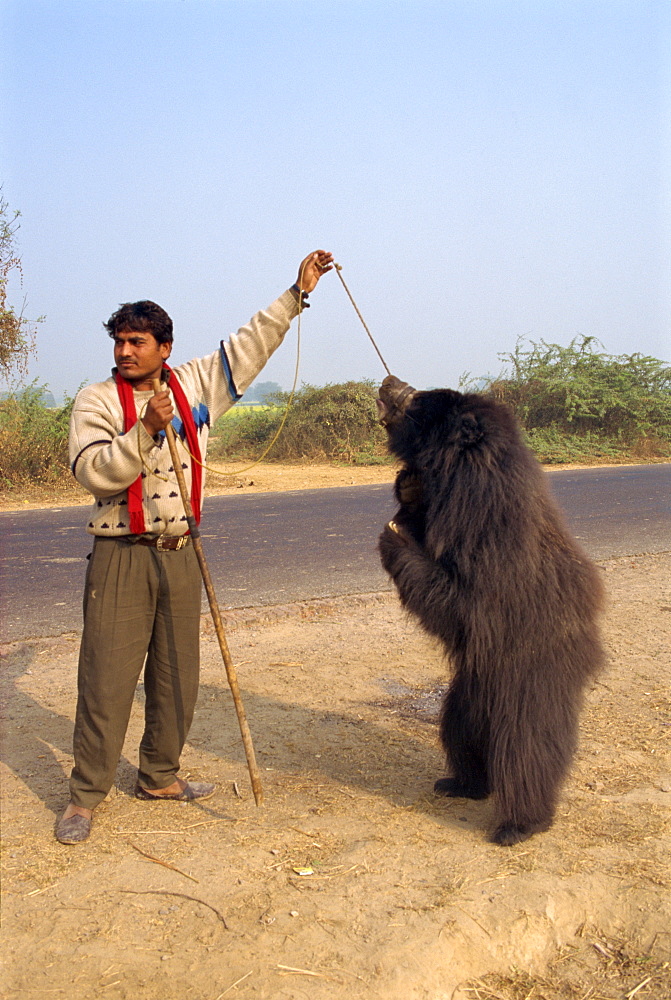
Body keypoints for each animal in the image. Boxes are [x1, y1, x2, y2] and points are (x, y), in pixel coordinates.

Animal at [376, 376, 608, 844]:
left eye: (419, 400)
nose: (389, 381)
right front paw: (408, 486)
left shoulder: (489, 539)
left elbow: (459, 605)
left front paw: (394, 536)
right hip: (469, 691)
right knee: (458, 731)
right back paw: (461, 783)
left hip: (529, 681)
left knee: (526, 752)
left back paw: (519, 824)